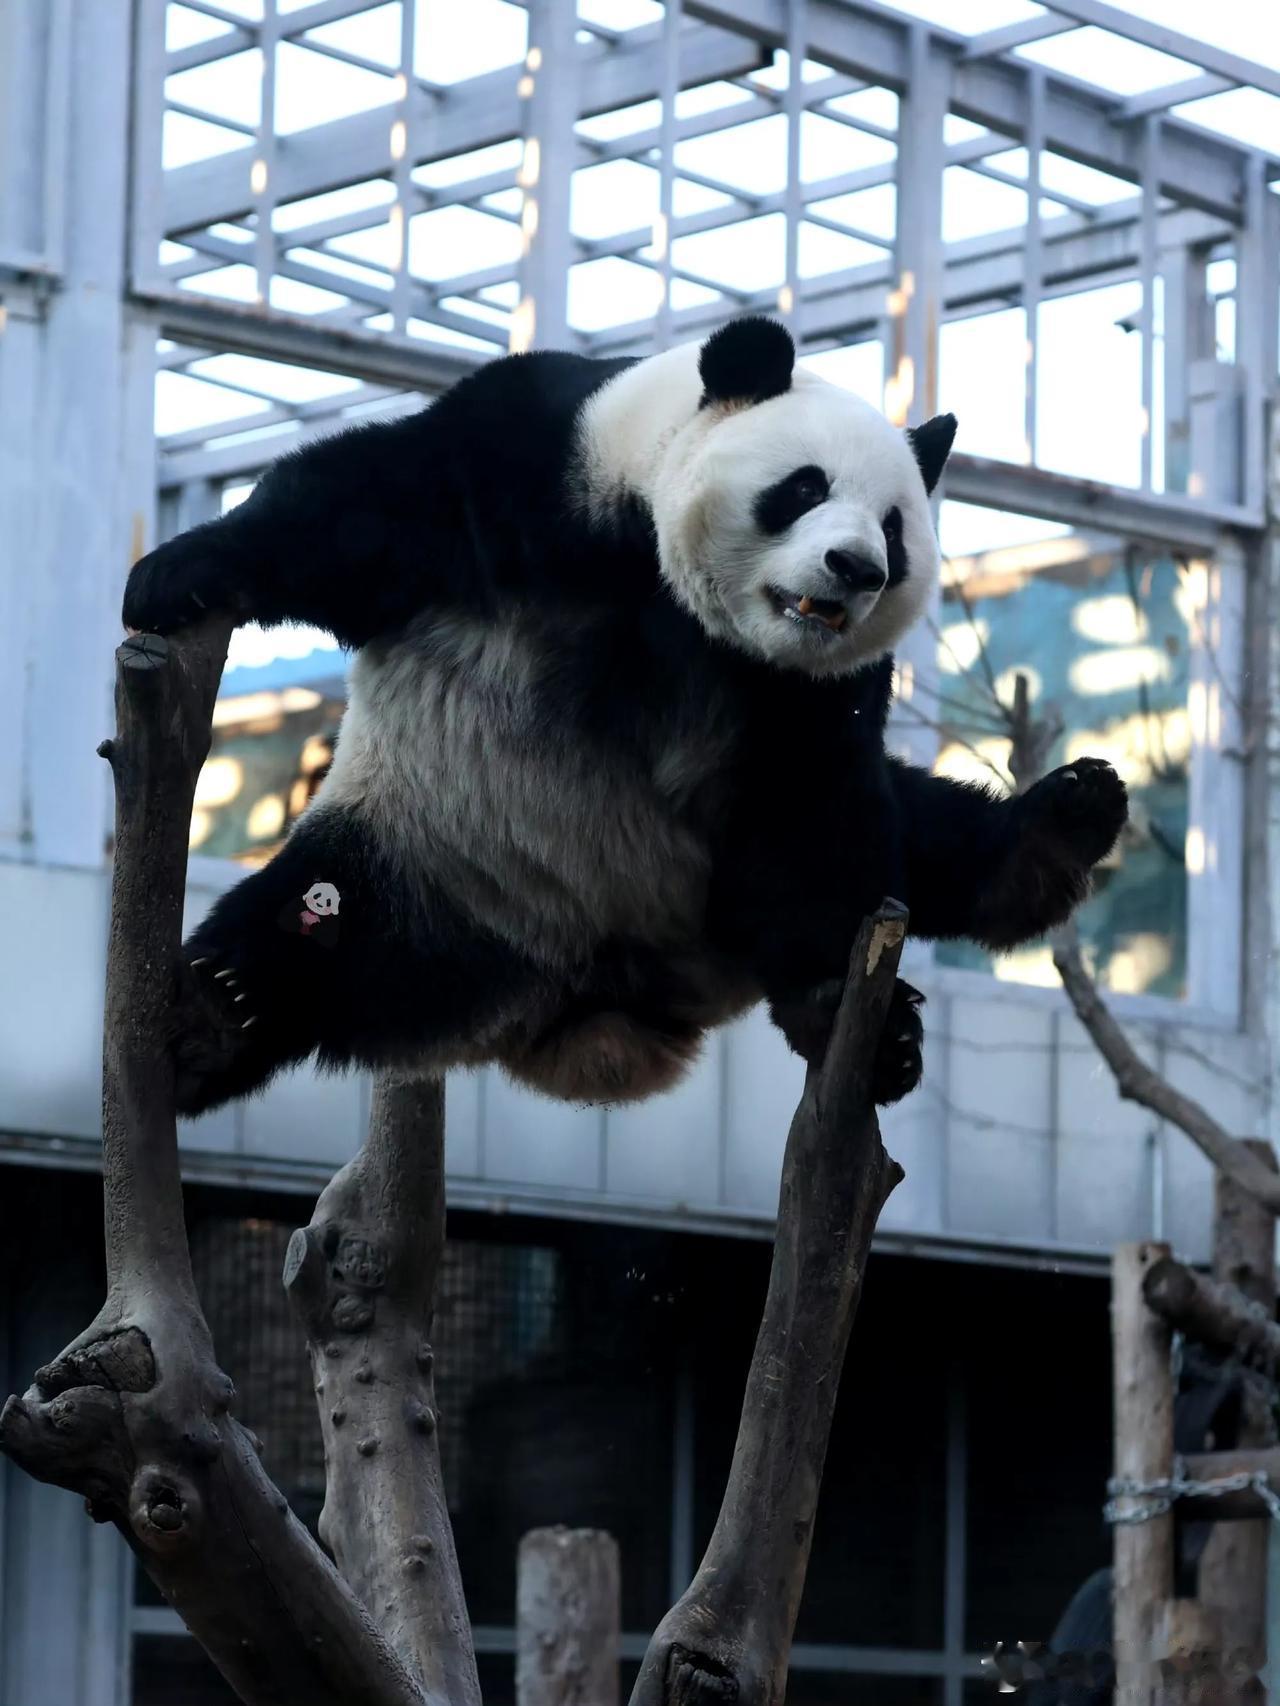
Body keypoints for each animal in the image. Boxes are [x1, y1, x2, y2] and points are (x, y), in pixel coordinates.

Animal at [128, 317, 1133, 1119]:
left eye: (895, 527)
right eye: (804, 488)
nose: (855, 570)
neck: (664, 587)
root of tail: (590, 1007)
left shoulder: (801, 694)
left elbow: (813, 816)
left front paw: (843, 1014)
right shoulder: (531, 464)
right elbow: (353, 512)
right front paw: (173, 576)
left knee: (926, 830)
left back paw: (1056, 832)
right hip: (425, 857)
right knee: (311, 934)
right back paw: (212, 1016)